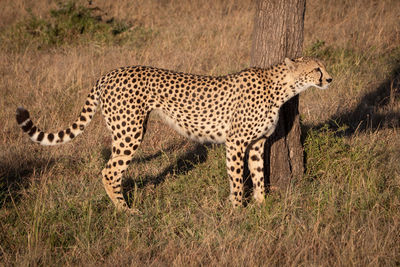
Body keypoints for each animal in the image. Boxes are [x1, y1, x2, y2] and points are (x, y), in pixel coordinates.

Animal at [15, 57, 332, 214]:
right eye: (317, 68)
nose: (330, 78)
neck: (280, 88)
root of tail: (109, 73)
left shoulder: (256, 143)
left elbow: (257, 175)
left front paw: (262, 206)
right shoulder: (235, 142)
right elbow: (236, 178)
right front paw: (237, 210)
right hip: (130, 132)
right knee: (109, 171)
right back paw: (126, 211)